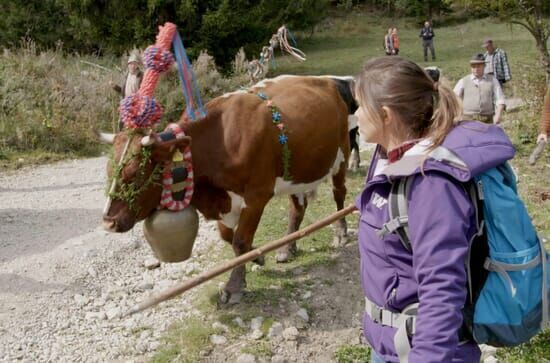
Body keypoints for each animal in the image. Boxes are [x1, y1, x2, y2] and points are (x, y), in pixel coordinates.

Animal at [102, 74, 352, 304]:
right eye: (108, 171)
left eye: (135, 174)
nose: (108, 222)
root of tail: (327, 80)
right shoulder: (224, 200)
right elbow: (228, 236)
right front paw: (257, 256)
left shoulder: (257, 195)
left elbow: (239, 241)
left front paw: (234, 286)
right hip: (296, 173)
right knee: (297, 208)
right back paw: (287, 249)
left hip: (342, 156)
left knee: (339, 195)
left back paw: (340, 233)